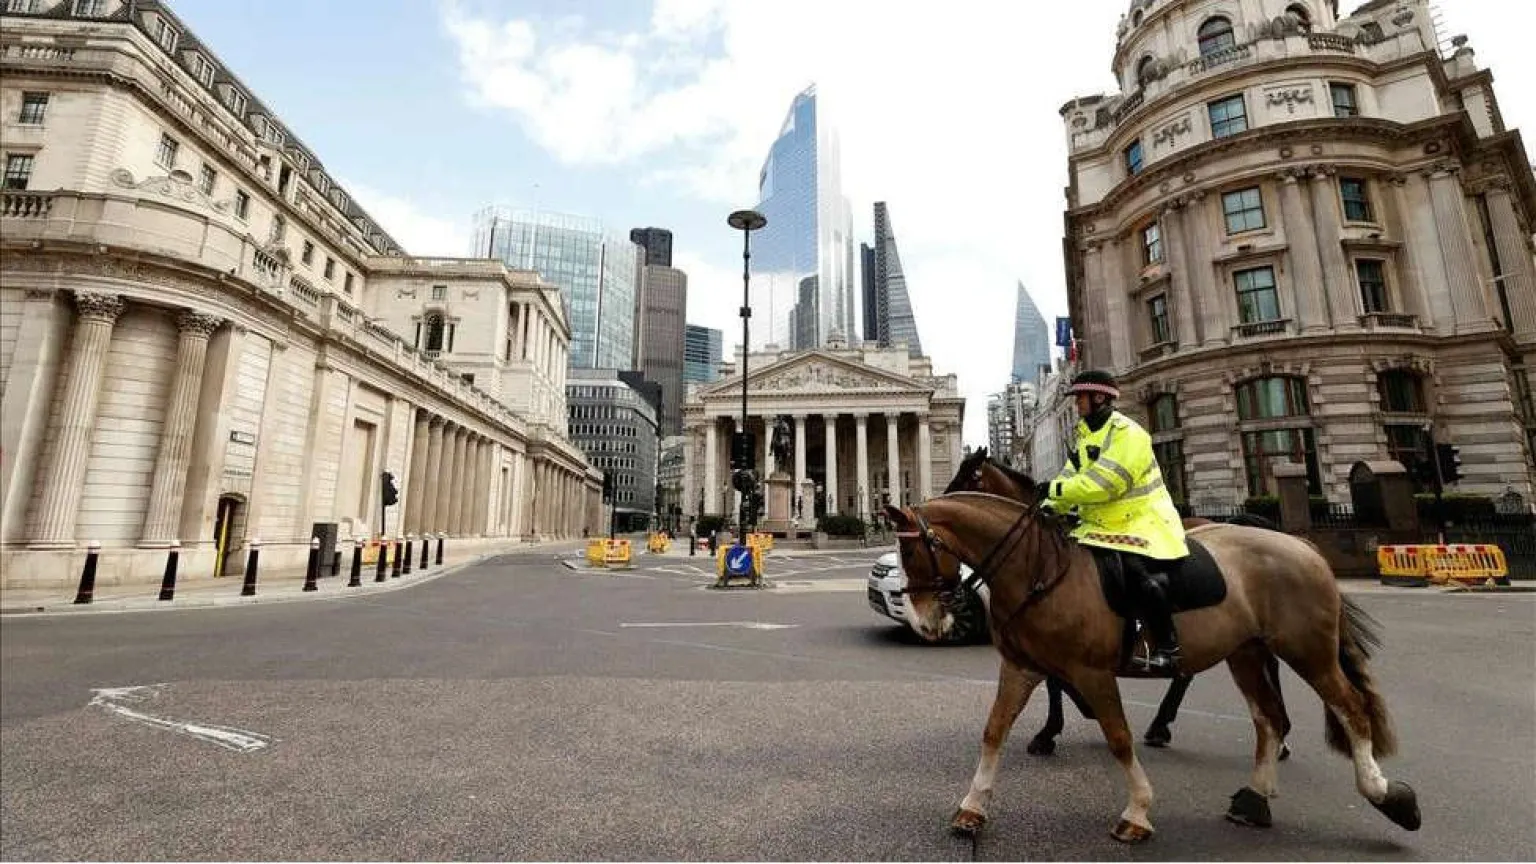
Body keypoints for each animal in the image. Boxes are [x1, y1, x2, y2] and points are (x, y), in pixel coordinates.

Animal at [885, 489, 1420, 844]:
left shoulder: (1092, 672)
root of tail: (1303, 546)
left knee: (1351, 707)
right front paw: (972, 807)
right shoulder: (1021, 667)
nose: (925, 621)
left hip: (1307, 649)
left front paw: (1137, 812)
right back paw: (1255, 799)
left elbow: (1118, 738)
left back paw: (1383, 793)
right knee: (1270, 718)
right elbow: (994, 730)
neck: (1038, 570)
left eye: (911, 549)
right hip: (1246, 651)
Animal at [945, 448, 1291, 759]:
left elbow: (1056, 681)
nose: (939, 502)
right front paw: (1071, 716)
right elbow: (1056, 679)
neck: (1044, 552)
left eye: (968, 477)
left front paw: (1051, 731)